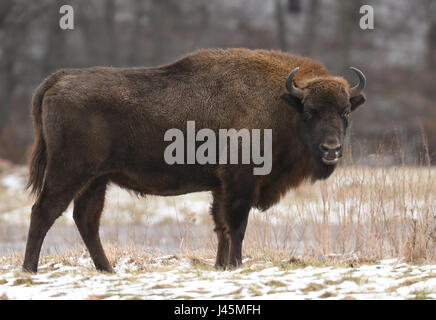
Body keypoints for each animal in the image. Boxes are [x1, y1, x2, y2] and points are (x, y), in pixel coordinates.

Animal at [23, 48, 364, 272]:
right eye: (310, 112)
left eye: (345, 112)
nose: (331, 149)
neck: (282, 103)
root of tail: (59, 79)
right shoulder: (239, 182)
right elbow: (236, 225)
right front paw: (235, 265)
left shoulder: (220, 187)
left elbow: (221, 226)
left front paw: (221, 266)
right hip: (69, 173)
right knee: (44, 212)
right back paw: (30, 269)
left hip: (96, 179)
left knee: (86, 219)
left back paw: (107, 270)